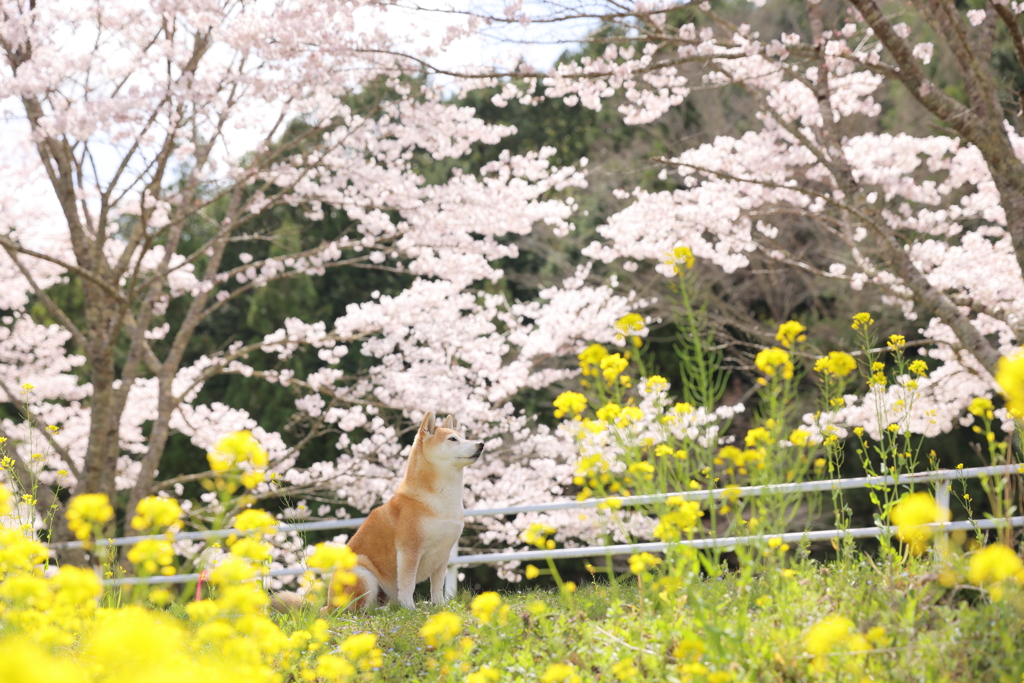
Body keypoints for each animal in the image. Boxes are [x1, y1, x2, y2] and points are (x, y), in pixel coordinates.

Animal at [270, 411, 481, 614]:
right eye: (452, 439)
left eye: (463, 436)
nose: (481, 444)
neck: (442, 500)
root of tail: (328, 605)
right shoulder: (409, 550)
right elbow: (408, 585)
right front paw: (410, 608)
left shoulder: (443, 554)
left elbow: (436, 587)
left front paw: (440, 607)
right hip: (362, 573)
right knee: (356, 610)